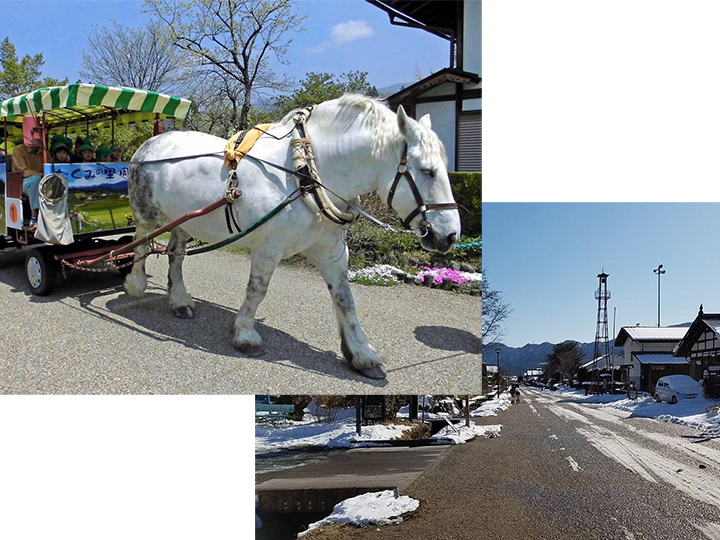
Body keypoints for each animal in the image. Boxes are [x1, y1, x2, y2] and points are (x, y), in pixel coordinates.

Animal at [124, 95, 462, 378]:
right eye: (427, 170)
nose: (449, 235)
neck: (306, 174)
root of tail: (151, 142)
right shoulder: (268, 247)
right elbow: (257, 291)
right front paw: (245, 334)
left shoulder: (332, 251)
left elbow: (345, 300)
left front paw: (361, 353)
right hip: (147, 213)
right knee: (140, 244)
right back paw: (135, 284)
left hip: (185, 220)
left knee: (176, 255)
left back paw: (180, 300)